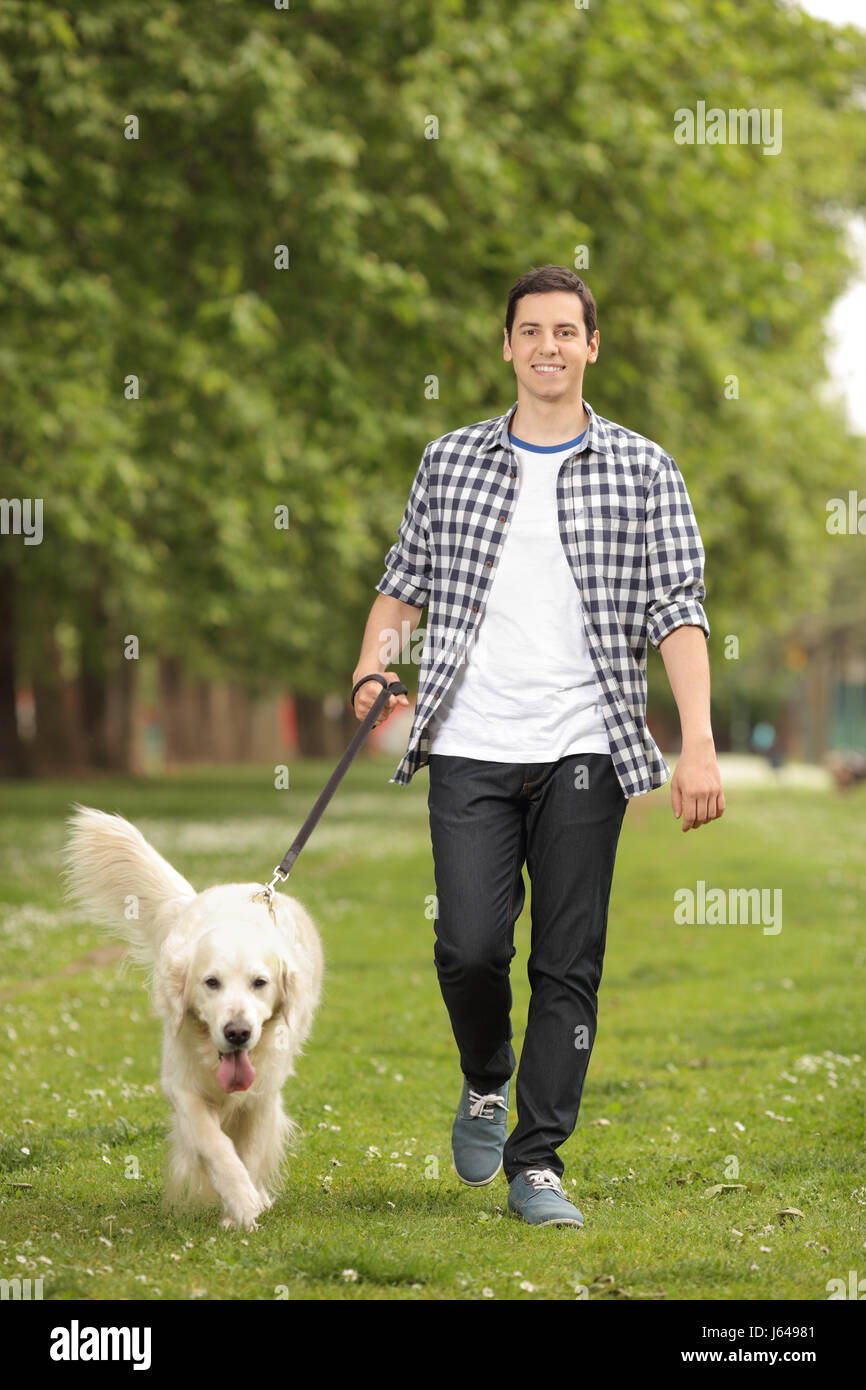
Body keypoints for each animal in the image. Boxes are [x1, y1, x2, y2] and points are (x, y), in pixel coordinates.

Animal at [61, 806, 323, 1228]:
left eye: (260, 983)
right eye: (211, 982)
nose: (237, 1032)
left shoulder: (263, 1094)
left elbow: (249, 1151)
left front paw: (244, 1207)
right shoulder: (181, 1085)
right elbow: (214, 1144)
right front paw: (239, 1200)